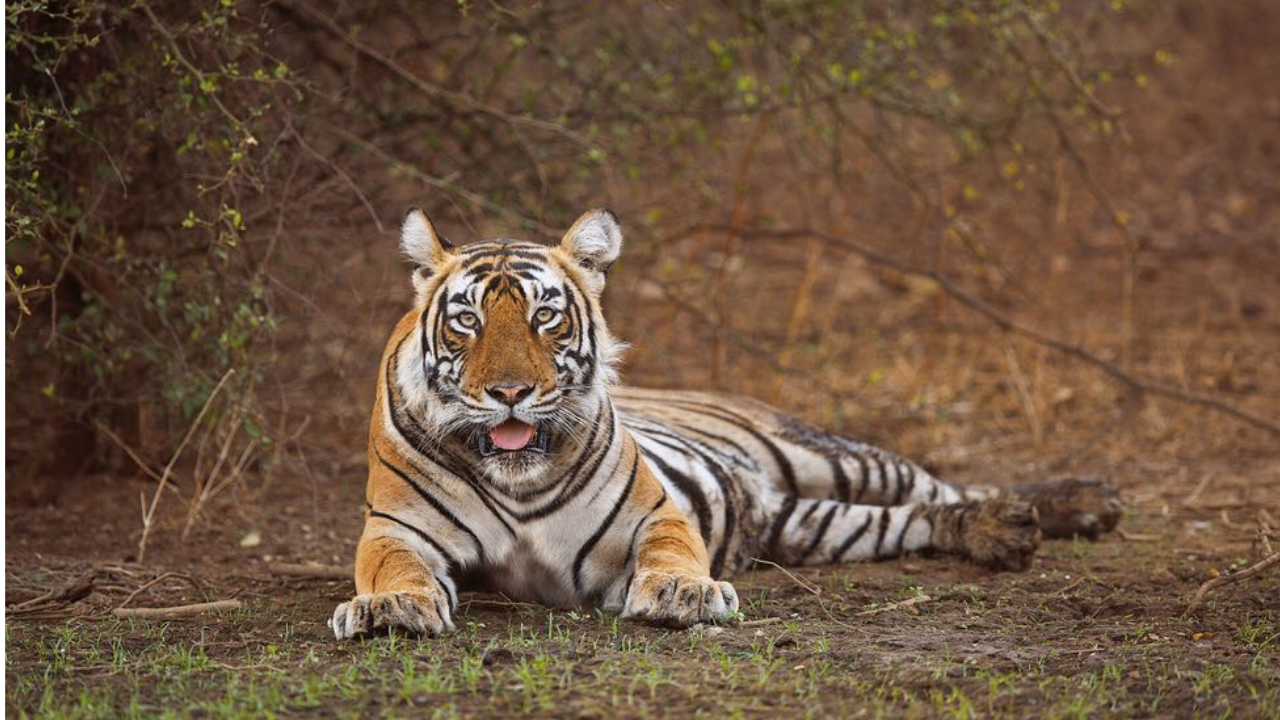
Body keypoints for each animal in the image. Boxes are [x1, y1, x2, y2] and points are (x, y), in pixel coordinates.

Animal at [330, 208, 1122, 638]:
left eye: (544, 315)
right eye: (466, 321)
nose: (510, 392)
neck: (516, 479)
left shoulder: (654, 513)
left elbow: (675, 552)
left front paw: (685, 594)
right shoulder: (398, 529)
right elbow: (393, 567)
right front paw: (390, 607)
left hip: (830, 457)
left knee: (943, 486)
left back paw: (1073, 505)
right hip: (814, 524)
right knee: (921, 517)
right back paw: (1006, 532)